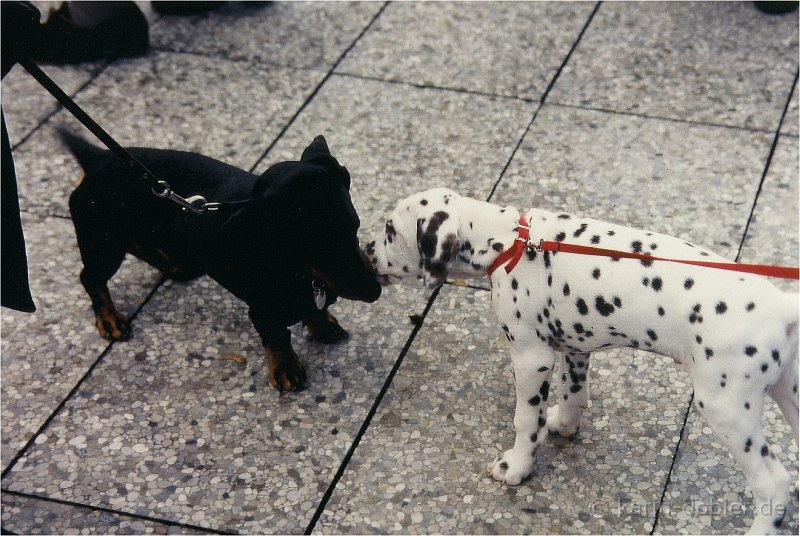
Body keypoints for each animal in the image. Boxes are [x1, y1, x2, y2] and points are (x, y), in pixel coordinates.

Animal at [366, 187, 796, 532]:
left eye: (390, 231)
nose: (365, 251)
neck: (510, 243)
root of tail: (784, 308)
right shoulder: (575, 348)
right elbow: (573, 391)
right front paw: (562, 424)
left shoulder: (531, 358)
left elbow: (526, 420)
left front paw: (517, 466)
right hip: (789, 394)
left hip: (724, 407)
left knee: (773, 482)